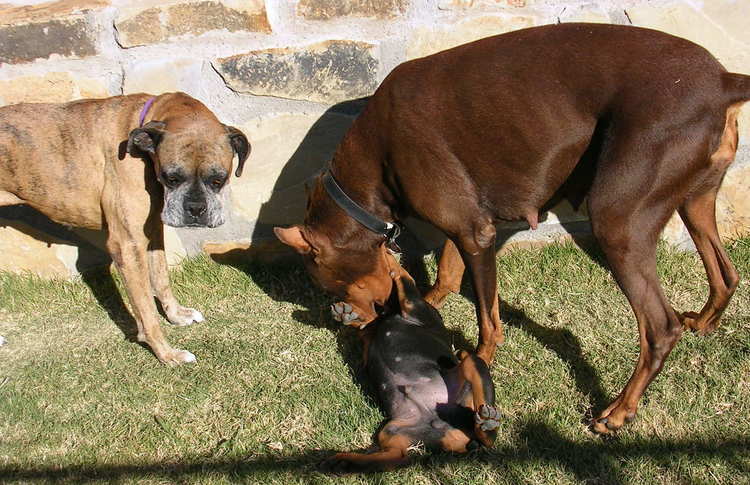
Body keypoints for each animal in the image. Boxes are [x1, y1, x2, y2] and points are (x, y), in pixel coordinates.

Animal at [0, 91, 253, 364]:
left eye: (218, 180)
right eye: (172, 178)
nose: (195, 209)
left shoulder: (152, 232)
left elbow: (161, 278)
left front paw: (176, 315)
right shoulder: (128, 247)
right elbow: (146, 310)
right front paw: (167, 354)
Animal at [276, 22, 750, 432]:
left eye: (334, 287)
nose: (357, 318)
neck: (375, 158)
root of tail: (722, 80)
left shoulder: (475, 233)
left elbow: (487, 319)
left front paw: (478, 357)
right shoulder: (468, 224)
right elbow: (448, 271)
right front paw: (428, 300)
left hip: (620, 220)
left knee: (660, 328)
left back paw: (618, 411)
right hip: (695, 198)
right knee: (726, 273)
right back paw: (703, 323)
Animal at [326, 266, 502, 470]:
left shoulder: (413, 305)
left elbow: (405, 283)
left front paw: (395, 268)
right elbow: (367, 326)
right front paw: (347, 315)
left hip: (471, 366)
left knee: (488, 440)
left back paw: (488, 424)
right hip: (394, 431)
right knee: (398, 455)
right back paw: (344, 461)